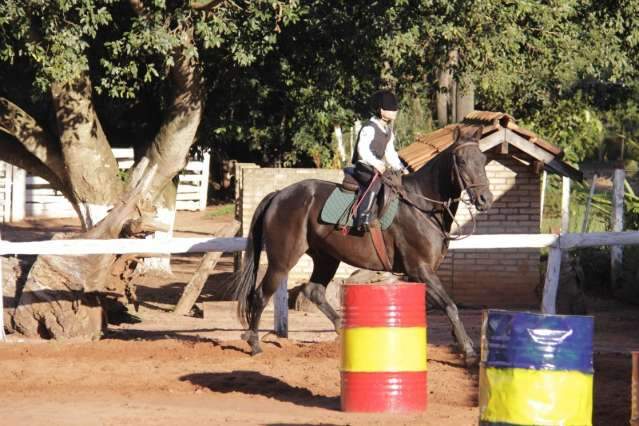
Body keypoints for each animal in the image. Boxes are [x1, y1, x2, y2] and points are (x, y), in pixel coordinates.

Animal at [232, 125, 492, 364]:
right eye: (461, 161)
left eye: (483, 160)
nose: (485, 199)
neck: (421, 205)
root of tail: (278, 195)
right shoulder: (421, 270)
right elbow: (450, 306)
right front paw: (469, 351)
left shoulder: (420, 275)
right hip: (282, 261)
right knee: (261, 295)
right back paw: (255, 344)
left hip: (327, 258)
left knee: (314, 291)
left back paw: (341, 329)